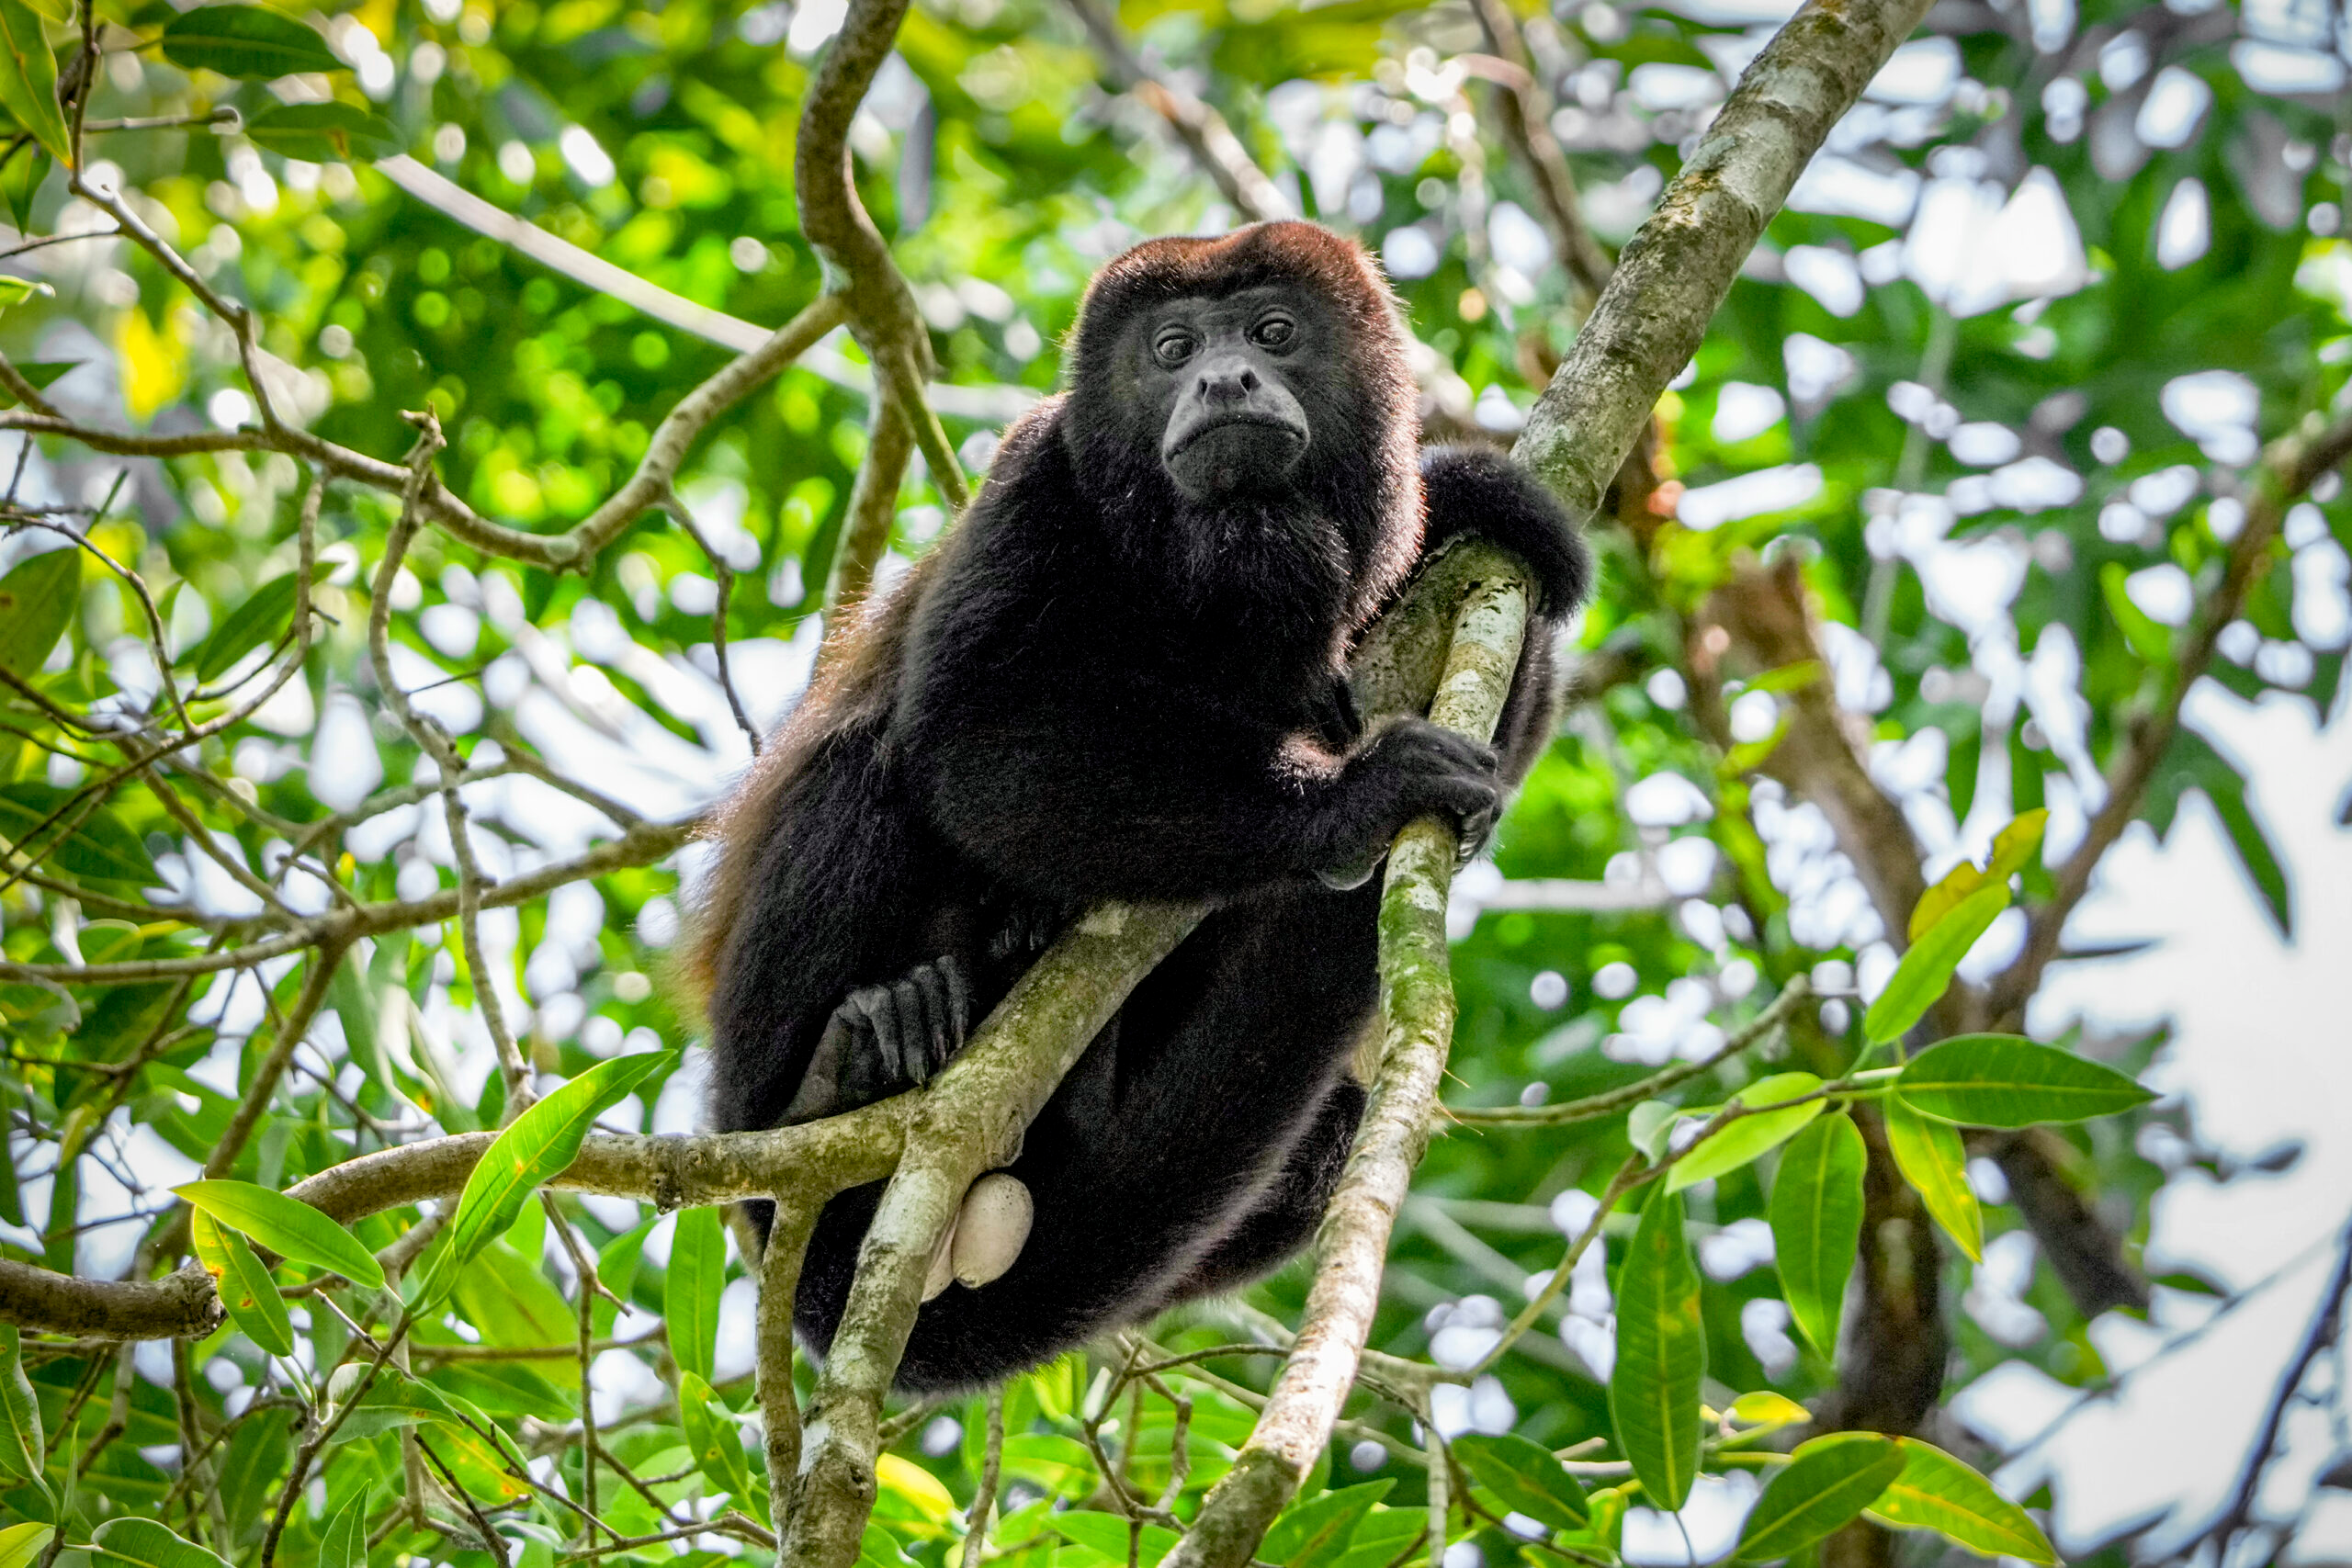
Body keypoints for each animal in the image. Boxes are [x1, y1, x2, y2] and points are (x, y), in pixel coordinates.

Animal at [693, 221, 1592, 1392]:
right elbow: (968, 737)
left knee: (1333, 1127)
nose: (1222, 378)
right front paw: (1349, 801)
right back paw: (846, 1065)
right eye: (1171, 350)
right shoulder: (1036, 478)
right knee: (864, 769)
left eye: (1273, 331)